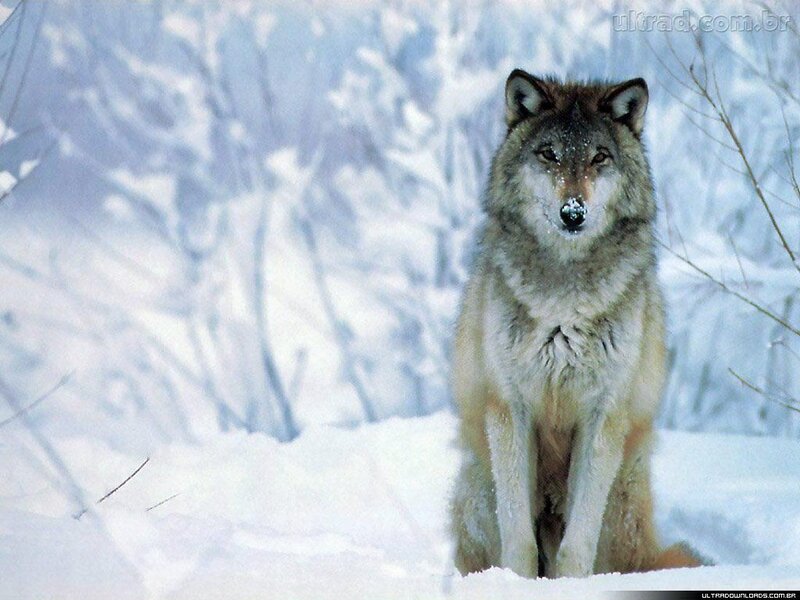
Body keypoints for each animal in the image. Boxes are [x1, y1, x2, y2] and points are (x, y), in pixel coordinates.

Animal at [449, 70, 704, 578]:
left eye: (598, 157)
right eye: (549, 154)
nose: (573, 212)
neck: (564, 302)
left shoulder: (603, 414)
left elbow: (577, 545)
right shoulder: (510, 408)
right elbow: (519, 540)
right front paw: (514, 583)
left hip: (621, 496)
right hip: (480, 482)